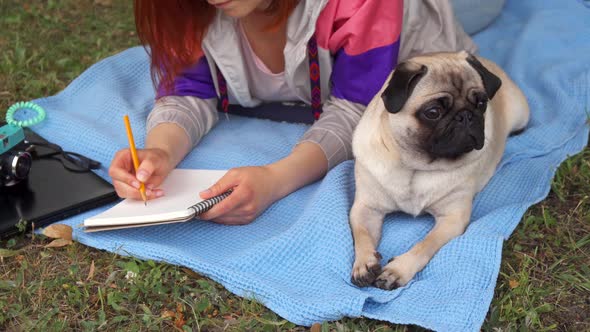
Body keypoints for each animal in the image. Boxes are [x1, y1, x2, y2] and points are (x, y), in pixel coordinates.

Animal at [352, 50, 532, 290]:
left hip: (522, 113)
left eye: (481, 103)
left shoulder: (452, 218)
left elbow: (425, 244)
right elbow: (361, 234)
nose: (465, 115)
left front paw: (398, 270)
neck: (416, 167)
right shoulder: (366, 208)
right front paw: (364, 263)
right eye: (433, 112)